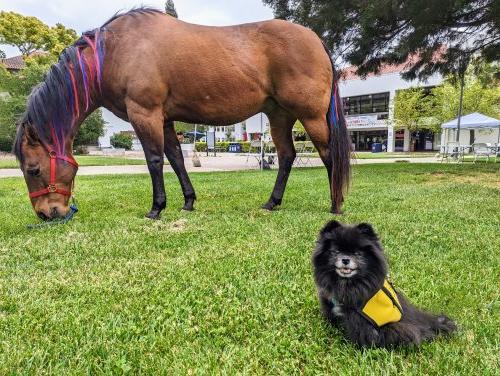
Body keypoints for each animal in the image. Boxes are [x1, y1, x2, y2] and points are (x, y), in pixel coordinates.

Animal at [11, 7, 350, 220]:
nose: (46, 214)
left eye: (33, 170)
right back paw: (272, 203)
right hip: (279, 115)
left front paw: (156, 208)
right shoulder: (165, 119)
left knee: (328, 154)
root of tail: (315, 39)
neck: (115, 51)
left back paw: (335, 205)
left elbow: (154, 160)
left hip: (311, 116)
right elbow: (175, 158)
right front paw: (188, 202)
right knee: (287, 156)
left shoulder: (144, 114)